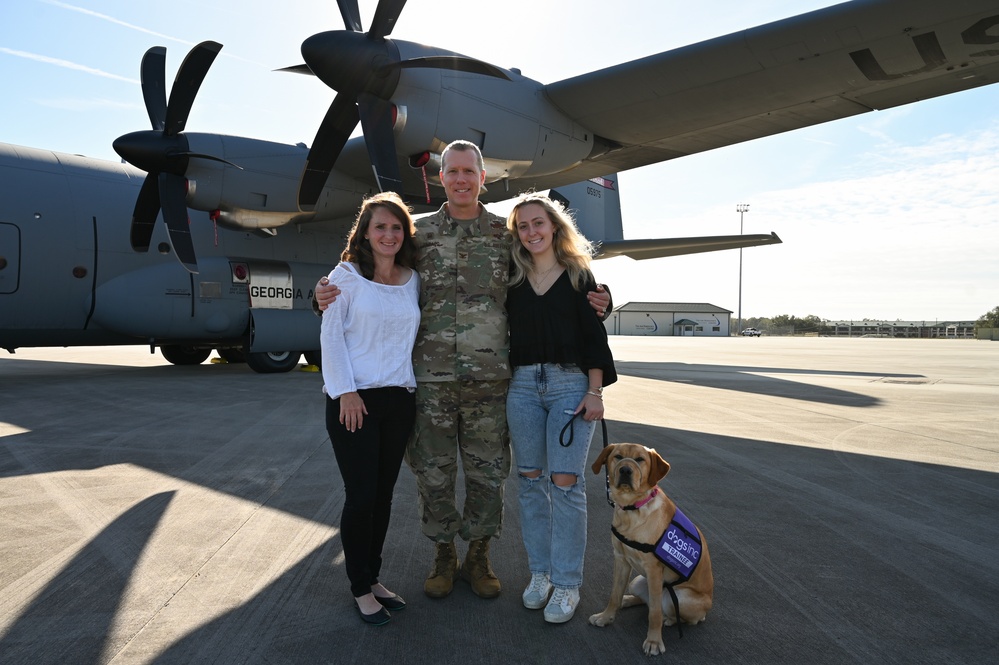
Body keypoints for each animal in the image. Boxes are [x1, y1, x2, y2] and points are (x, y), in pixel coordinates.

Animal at [588, 444, 716, 656]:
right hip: (637, 581)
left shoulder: (654, 569)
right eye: (618, 457)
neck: (632, 509)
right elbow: (614, 594)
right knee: (644, 600)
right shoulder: (621, 559)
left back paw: (669, 619)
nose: (625, 470)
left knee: (678, 615)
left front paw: (654, 641)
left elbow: (654, 613)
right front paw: (606, 617)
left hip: (679, 598)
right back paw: (627, 600)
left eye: (640, 459)